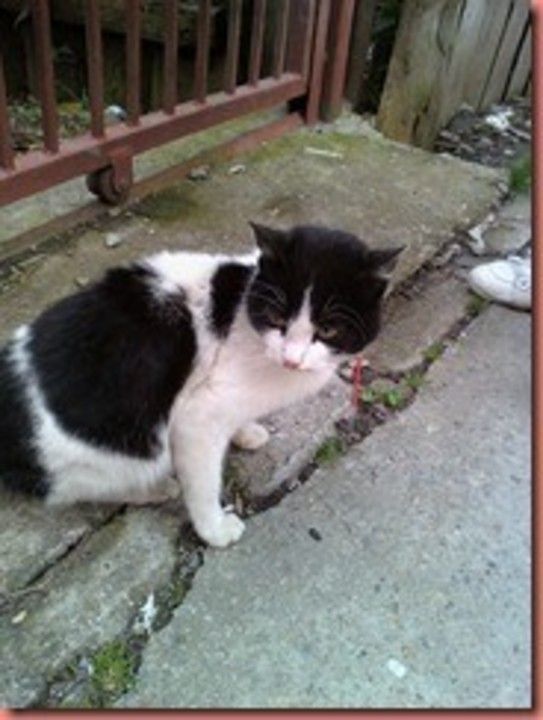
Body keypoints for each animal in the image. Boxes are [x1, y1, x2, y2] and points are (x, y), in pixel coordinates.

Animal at [0, 223, 402, 547]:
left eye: (329, 329)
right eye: (276, 317)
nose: (292, 359)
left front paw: (245, 431)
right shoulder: (196, 419)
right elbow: (205, 483)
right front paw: (214, 530)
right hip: (115, 449)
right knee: (78, 487)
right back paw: (154, 488)